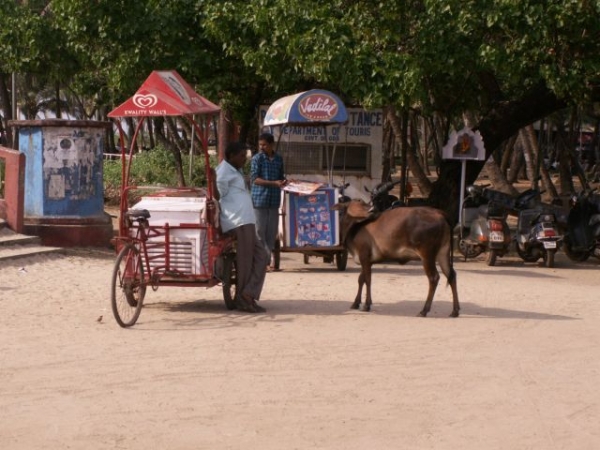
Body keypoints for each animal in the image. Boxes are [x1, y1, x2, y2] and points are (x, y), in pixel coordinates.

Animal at [332, 200, 460, 316]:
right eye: (358, 203)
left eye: (363, 202)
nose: (373, 209)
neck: (353, 229)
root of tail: (438, 213)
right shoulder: (367, 260)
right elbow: (361, 279)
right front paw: (355, 303)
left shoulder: (364, 256)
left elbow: (367, 280)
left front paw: (367, 305)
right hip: (443, 253)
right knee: (451, 275)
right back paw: (455, 310)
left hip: (427, 255)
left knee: (434, 278)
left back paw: (424, 310)